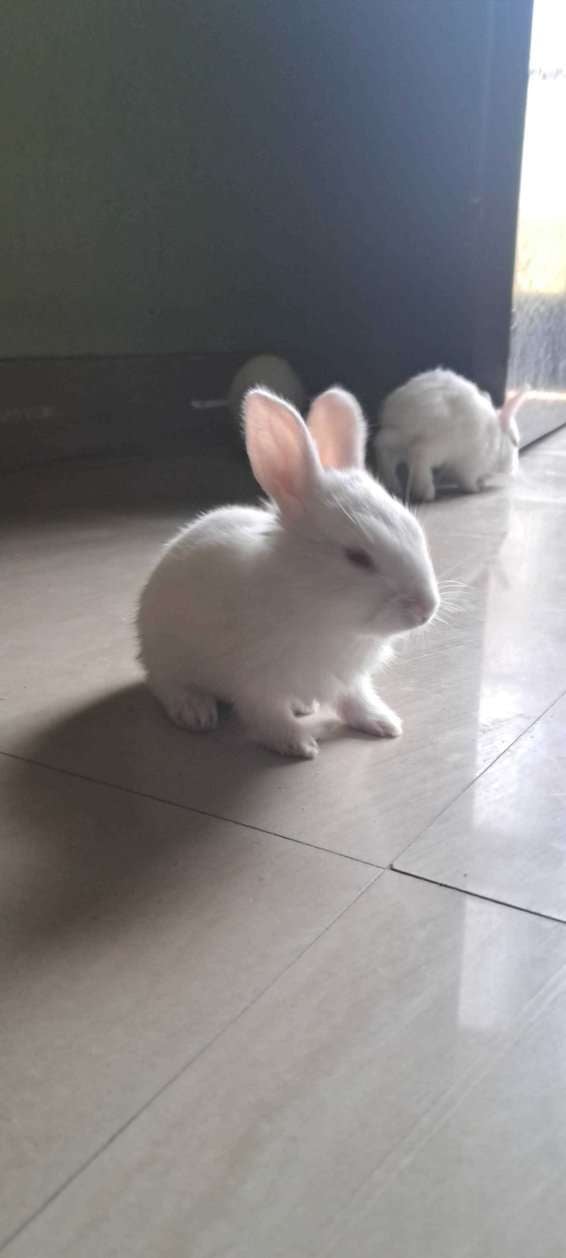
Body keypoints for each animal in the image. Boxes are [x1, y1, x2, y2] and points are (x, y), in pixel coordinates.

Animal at [137, 386, 439, 759]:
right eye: (357, 557)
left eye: (415, 529)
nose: (427, 609)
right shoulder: (256, 682)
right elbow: (268, 717)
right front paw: (300, 745)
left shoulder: (349, 679)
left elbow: (356, 701)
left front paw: (384, 723)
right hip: (166, 656)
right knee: (164, 684)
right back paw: (195, 712)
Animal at [375, 368, 526, 502]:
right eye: (515, 442)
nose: (514, 469)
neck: (495, 438)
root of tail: (396, 409)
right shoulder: (470, 464)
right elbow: (467, 480)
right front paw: (475, 489)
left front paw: (481, 483)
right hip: (437, 445)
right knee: (419, 457)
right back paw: (427, 493)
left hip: (398, 438)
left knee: (382, 446)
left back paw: (393, 486)